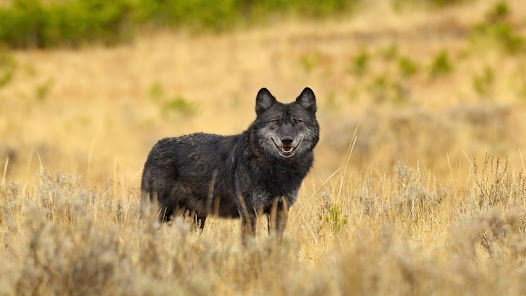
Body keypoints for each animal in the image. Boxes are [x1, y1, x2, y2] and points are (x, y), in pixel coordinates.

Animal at [141, 88, 322, 240]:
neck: (277, 169)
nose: (287, 140)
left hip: (196, 219)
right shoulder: (248, 212)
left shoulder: (280, 211)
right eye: (275, 121)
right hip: (159, 213)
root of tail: (155, 147)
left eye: (297, 121)